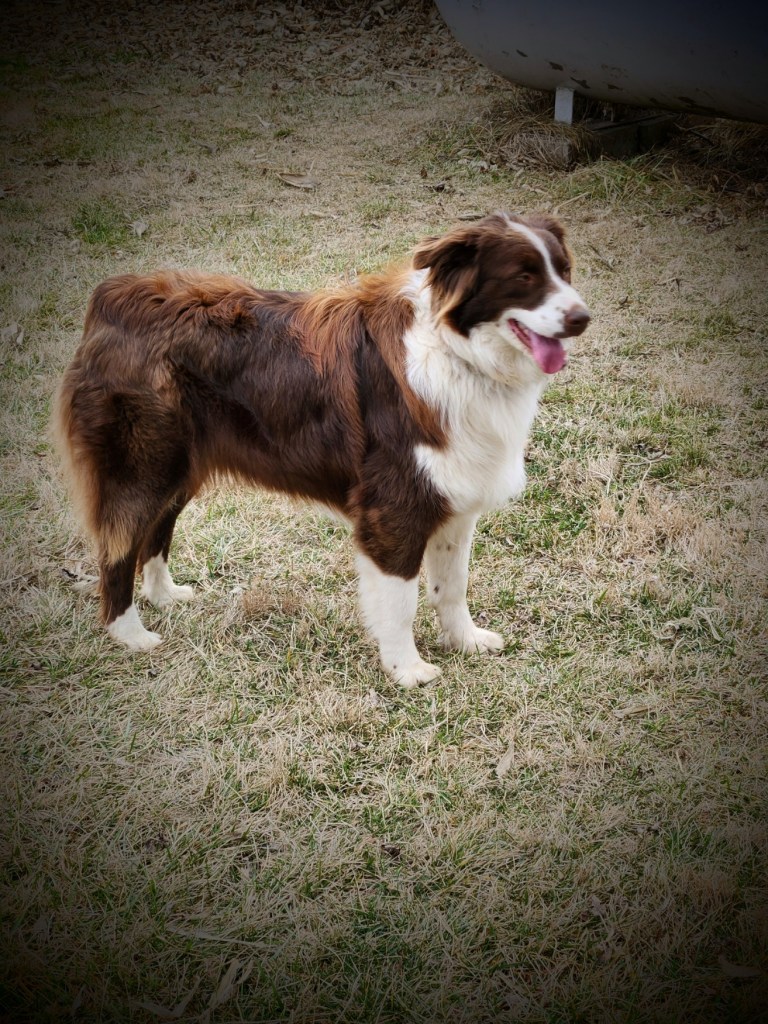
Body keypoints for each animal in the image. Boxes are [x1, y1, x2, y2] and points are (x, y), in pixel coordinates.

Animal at [54, 212, 589, 687]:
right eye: (523, 276)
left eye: (564, 271)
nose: (582, 318)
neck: (457, 354)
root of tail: (109, 299)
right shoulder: (393, 509)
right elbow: (401, 601)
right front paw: (407, 670)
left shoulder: (454, 497)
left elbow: (451, 586)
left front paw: (465, 641)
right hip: (141, 467)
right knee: (118, 548)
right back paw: (129, 633)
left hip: (180, 466)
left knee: (155, 530)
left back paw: (165, 595)